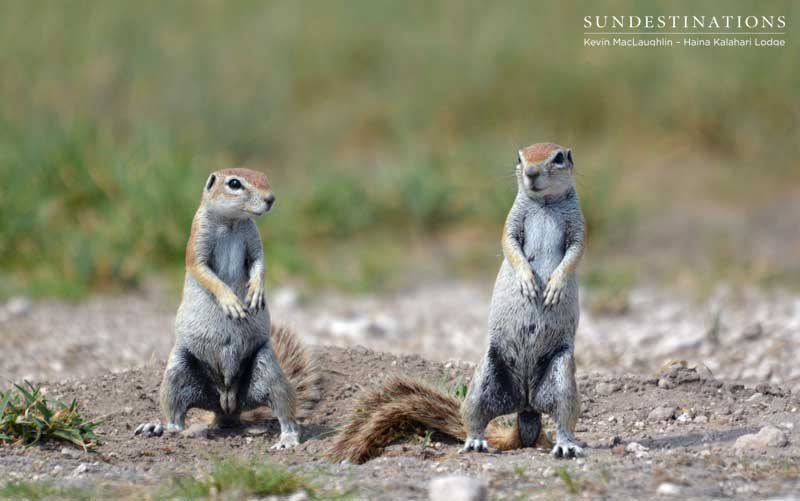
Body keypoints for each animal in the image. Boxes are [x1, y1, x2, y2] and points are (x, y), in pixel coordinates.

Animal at [135, 168, 318, 450]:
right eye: (234, 183)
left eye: (265, 177)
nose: (271, 199)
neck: (232, 221)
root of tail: (227, 407)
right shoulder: (197, 238)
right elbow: (204, 271)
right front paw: (231, 302)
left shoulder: (254, 239)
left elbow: (260, 264)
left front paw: (256, 292)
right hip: (177, 372)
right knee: (176, 415)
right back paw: (160, 427)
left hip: (268, 368)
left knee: (284, 410)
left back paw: (287, 437)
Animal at [328, 143, 585, 463]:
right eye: (520, 157)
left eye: (558, 157)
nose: (531, 172)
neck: (545, 204)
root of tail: (526, 407)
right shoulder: (512, 221)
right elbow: (509, 245)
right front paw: (527, 280)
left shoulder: (578, 225)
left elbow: (575, 252)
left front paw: (554, 286)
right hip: (484, 381)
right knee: (474, 418)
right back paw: (475, 442)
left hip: (562, 376)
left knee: (563, 416)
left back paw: (566, 446)